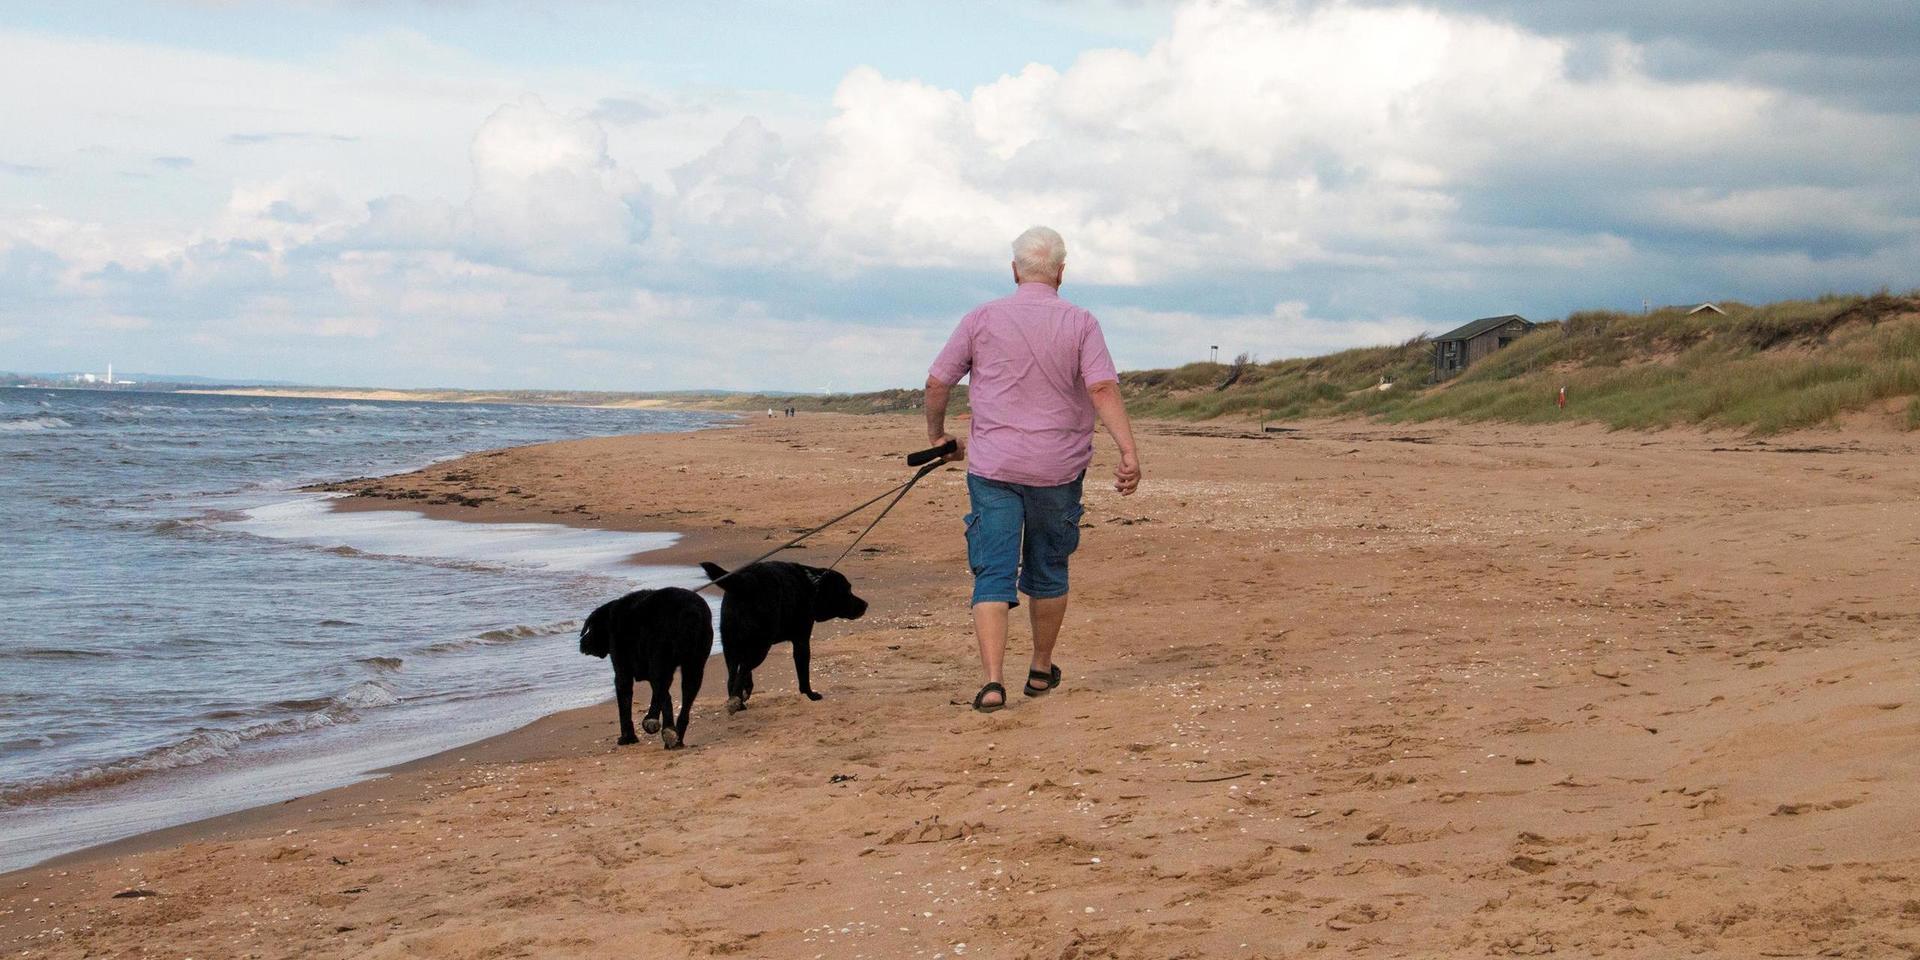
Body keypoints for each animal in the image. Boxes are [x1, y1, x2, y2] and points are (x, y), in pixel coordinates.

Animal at [579, 583, 718, 748]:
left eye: (590, 628)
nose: (582, 643)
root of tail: (691, 611)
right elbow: (664, 699)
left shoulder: (622, 672)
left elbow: (625, 706)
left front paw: (627, 737)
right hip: (694, 666)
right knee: (682, 699)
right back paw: (675, 737)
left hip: (660, 659)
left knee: (662, 691)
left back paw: (655, 722)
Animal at [702, 560, 867, 710]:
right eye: (848, 591)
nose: (865, 604)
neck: (813, 586)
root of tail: (746, 583)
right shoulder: (801, 641)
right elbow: (803, 674)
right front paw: (810, 695)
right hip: (760, 646)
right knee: (742, 670)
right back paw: (736, 702)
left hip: (731, 646)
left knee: (733, 676)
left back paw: (738, 701)